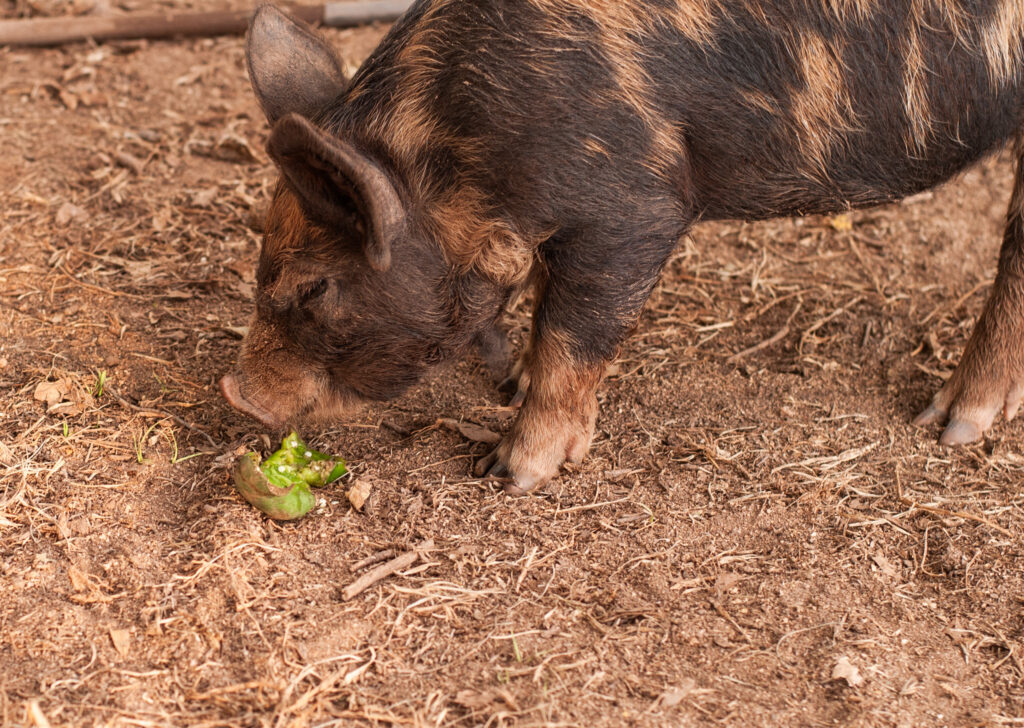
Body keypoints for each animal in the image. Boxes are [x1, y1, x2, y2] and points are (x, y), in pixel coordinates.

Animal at [222, 0, 1024, 495]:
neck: (460, 159)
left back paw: (949, 428)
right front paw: (512, 385)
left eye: (316, 287)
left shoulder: (637, 209)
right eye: (262, 262)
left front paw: (508, 472)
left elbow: (574, 330)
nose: (235, 393)